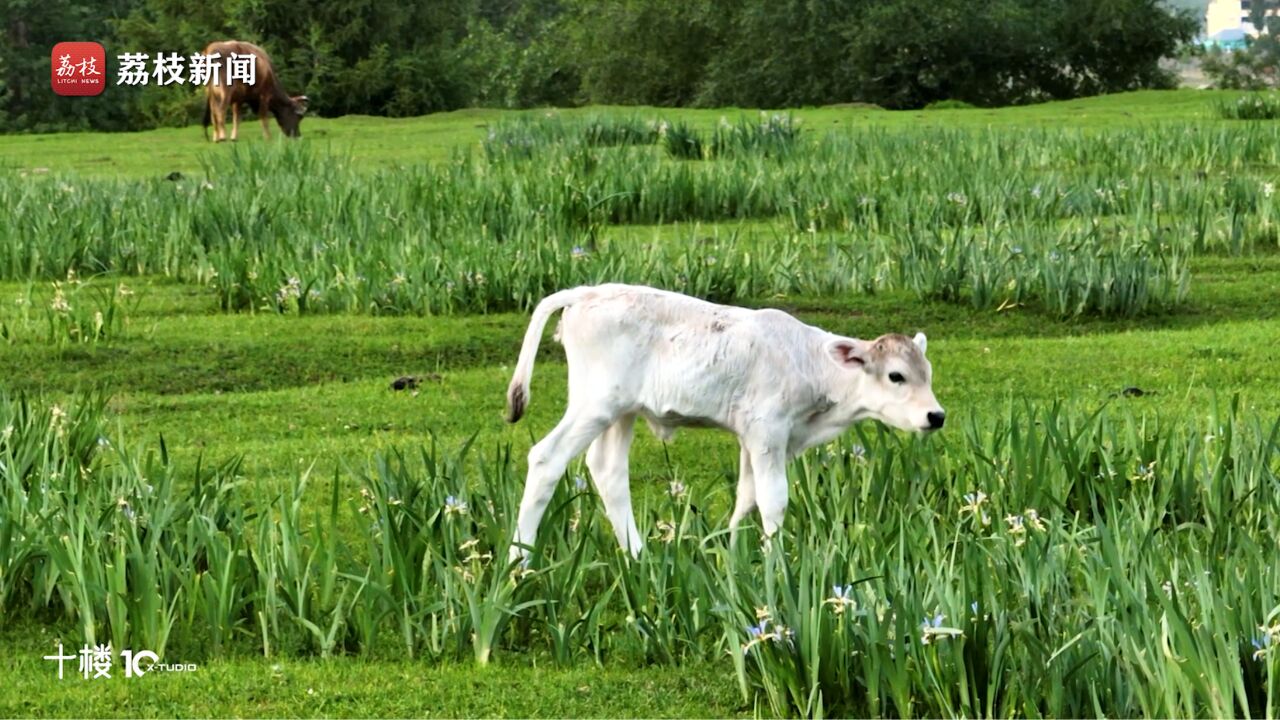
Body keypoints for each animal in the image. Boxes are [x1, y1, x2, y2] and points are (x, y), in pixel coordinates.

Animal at [504, 283, 947, 558]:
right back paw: (517, 562)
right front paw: (775, 563)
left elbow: (746, 496)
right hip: (594, 405)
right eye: (896, 376)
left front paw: (733, 552)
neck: (808, 363)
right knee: (546, 459)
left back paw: (638, 556)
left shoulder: (752, 437)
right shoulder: (769, 431)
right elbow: (773, 500)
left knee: (608, 471)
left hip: (620, 412)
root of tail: (586, 291)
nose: (936, 415)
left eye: (927, 372)